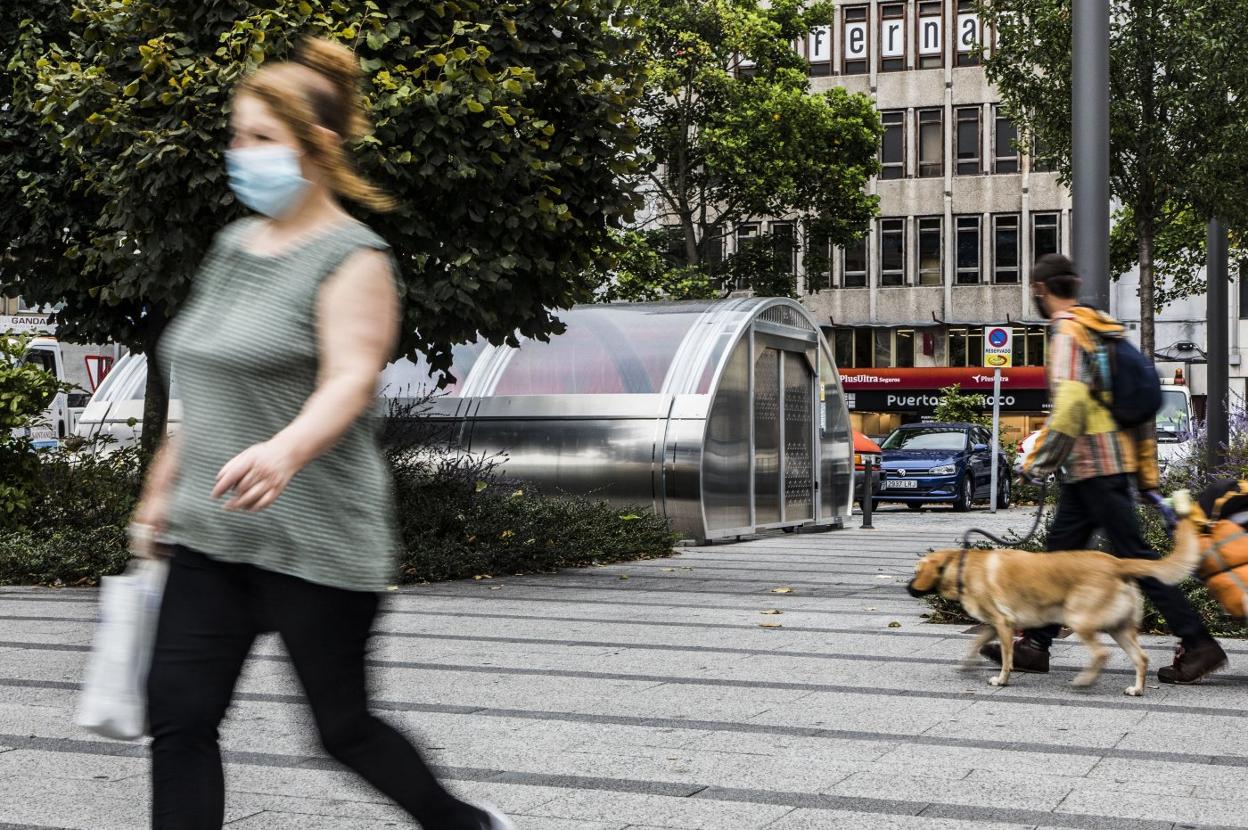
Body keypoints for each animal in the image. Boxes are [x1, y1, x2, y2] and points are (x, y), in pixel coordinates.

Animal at [913, 489, 1203, 693]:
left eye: (916, 571)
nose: (908, 587)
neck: (962, 566)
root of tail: (1117, 563)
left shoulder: (1003, 623)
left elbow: (1006, 658)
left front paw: (1002, 678)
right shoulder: (997, 624)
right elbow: (977, 642)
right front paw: (969, 662)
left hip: (1079, 618)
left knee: (1102, 653)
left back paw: (1085, 681)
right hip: (1119, 627)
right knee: (1140, 657)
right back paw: (1136, 689)